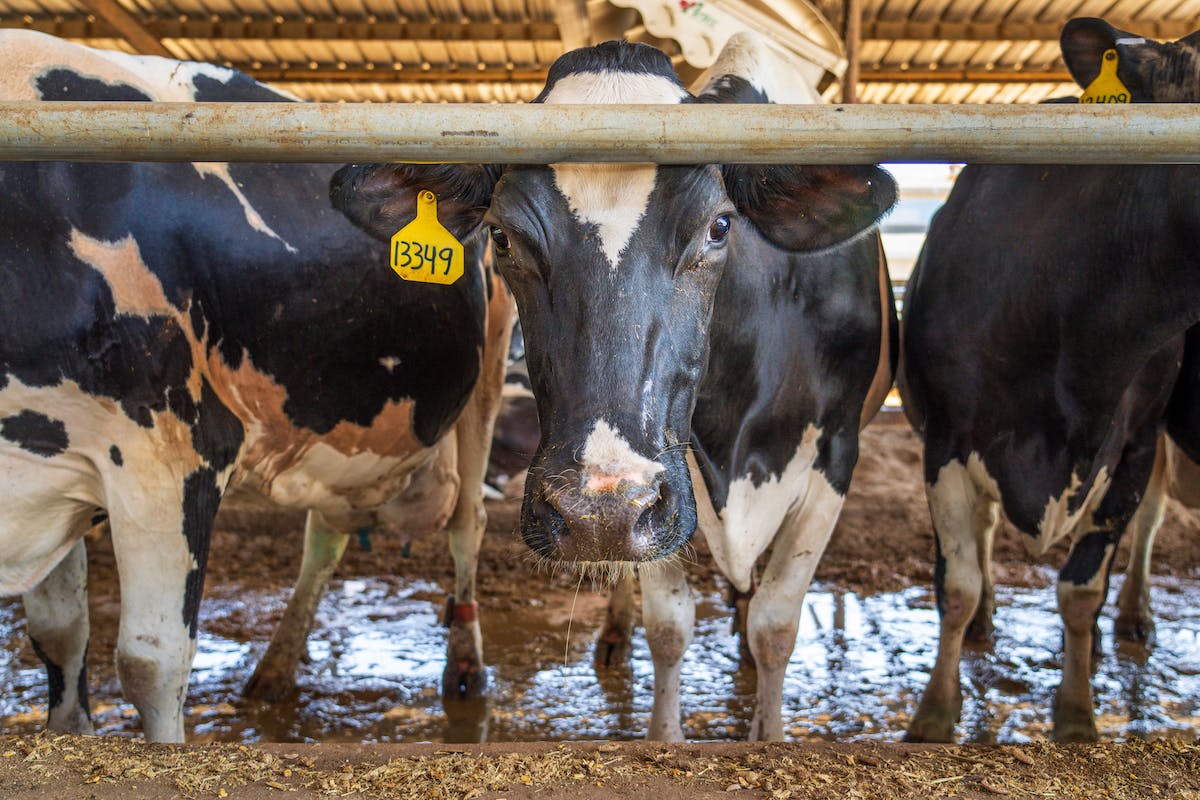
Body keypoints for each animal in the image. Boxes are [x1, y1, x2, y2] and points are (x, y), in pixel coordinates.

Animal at [0, 30, 513, 742]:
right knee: (327, 532)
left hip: (487, 373)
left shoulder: (172, 450)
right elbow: (60, 634)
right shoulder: (54, 463)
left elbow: (150, 662)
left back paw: (465, 668)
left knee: (469, 522)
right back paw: (274, 668)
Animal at [332, 32, 897, 740]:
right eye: (501, 235)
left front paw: (766, 736)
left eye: (719, 227)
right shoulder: (672, 480)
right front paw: (665, 735)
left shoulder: (835, 455)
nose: (597, 510)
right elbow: (670, 626)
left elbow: (775, 624)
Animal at [899, 17, 1200, 743]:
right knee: (981, 542)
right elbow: (957, 583)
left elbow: (1080, 589)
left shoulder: (1134, 446)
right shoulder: (946, 442)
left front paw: (1077, 715)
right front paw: (935, 714)